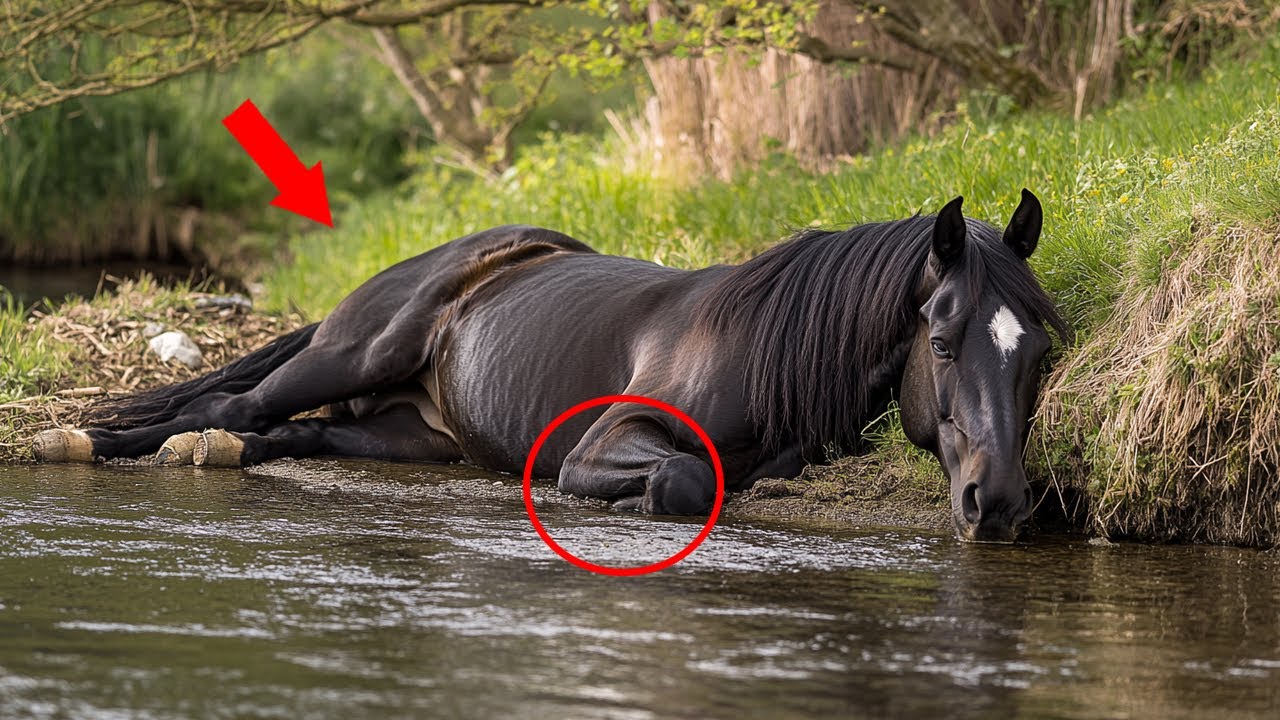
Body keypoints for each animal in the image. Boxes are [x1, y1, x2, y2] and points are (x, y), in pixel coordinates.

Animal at [33, 190, 1067, 542]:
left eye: (1042, 350)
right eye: (943, 341)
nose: (1000, 501)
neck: (764, 347)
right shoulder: (606, 440)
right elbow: (688, 479)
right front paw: (636, 504)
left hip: (412, 434)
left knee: (289, 434)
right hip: (354, 352)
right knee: (241, 407)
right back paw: (87, 441)